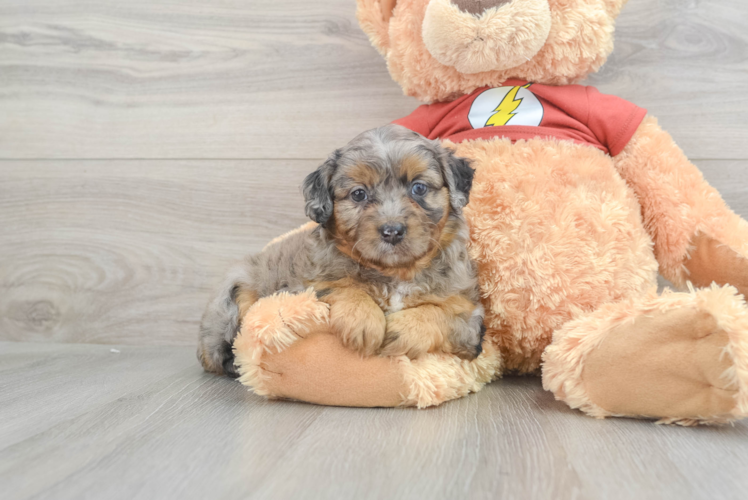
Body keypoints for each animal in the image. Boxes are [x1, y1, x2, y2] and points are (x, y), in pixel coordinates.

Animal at [197, 123, 486, 376]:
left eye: (419, 188)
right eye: (358, 194)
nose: (392, 231)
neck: (395, 272)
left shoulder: (470, 318)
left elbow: (441, 314)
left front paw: (402, 329)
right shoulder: (302, 287)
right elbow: (339, 286)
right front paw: (363, 319)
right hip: (234, 294)